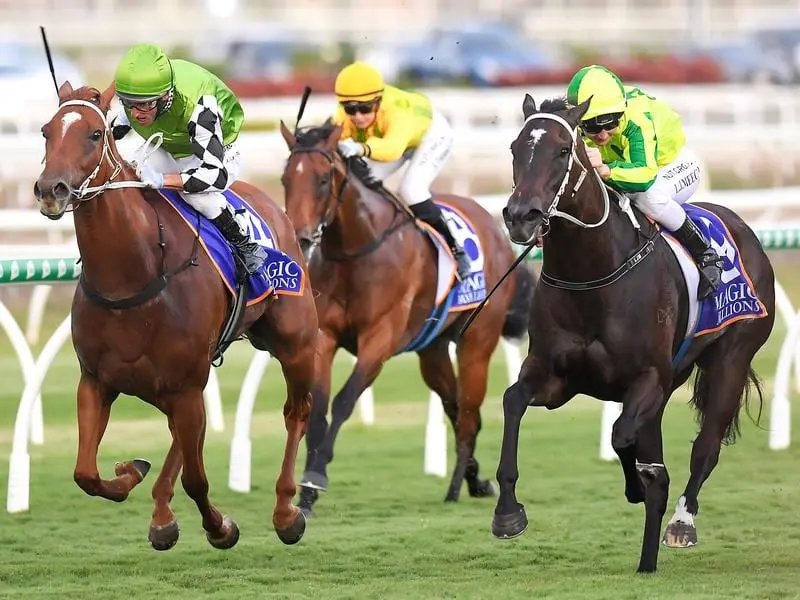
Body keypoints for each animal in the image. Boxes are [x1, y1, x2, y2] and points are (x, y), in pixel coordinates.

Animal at [32, 82, 318, 552]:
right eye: (45, 131)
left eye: (95, 134)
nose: (50, 189)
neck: (131, 278)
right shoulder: (96, 381)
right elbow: (85, 474)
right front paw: (130, 472)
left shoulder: (184, 386)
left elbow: (197, 481)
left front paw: (221, 528)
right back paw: (162, 513)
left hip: (295, 343)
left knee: (296, 413)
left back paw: (285, 512)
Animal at [278, 119, 536, 512]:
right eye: (285, 179)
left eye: (323, 179)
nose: (301, 237)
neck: (355, 251)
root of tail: (491, 224)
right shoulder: (325, 338)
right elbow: (318, 408)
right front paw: (306, 491)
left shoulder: (380, 339)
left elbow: (344, 401)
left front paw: (317, 475)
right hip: (432, 350)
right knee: (455, 406)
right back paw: (475, 479)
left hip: (477, 342)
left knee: (469, 414)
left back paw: (458, 485)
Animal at [494, 96, 776, 576]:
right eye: (514, 149)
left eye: (563, 151)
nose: (519, 217)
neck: (592, 275)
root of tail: (743, 227)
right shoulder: (555, 377)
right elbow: (513, 401)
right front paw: (508, 512)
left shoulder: (648, 378)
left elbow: (621, 435)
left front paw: (642, 485)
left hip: (731, 359)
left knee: (706, 448)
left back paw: (681, 523)